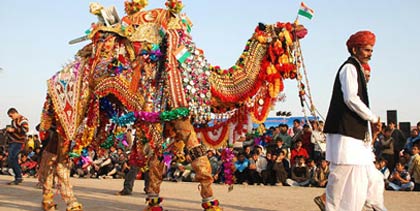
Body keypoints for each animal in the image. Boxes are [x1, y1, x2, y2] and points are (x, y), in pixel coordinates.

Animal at [37, 0, 308, 211]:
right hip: (75, 108)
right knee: (61, 159)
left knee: (49, 154)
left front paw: (154, 201)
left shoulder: (165, 120)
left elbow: (157, 162)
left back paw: (49, 203)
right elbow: (199, 158)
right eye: (281, 33)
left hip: (63, 118)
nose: (301, 28)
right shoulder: (179, 114)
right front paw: (212, 204)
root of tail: (53, 80)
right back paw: (72, 203)